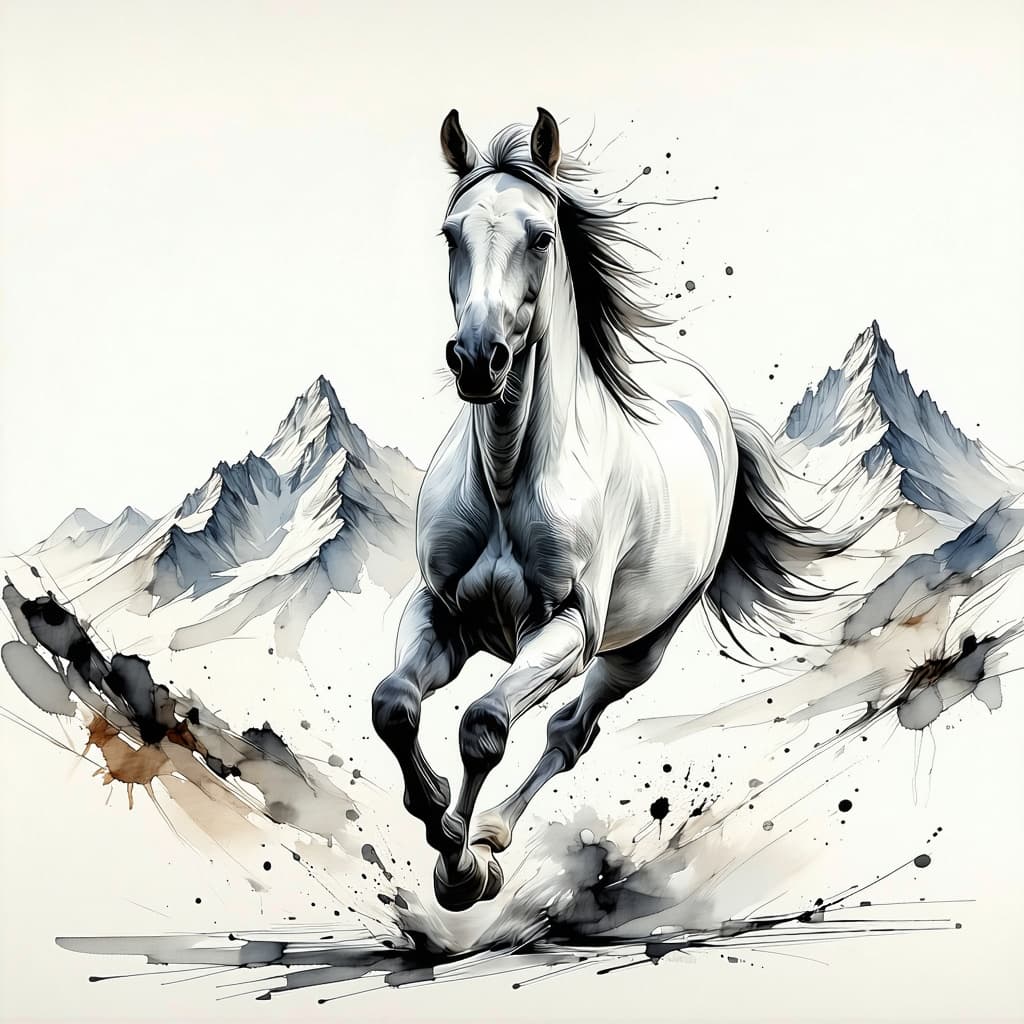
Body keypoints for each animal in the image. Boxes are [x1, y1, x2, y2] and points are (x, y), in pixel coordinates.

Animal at [371, 108, 866, 911]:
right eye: (450, 235)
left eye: (541, 236)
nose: (478, 358)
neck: (508, 481)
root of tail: (713, 412)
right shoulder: (440, 612)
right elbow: (395, 704)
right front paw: (437, 808)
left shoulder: (570, 629)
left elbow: (484, 724)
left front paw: (463, 864)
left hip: (638, 650)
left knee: (569, 733)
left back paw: (494, 836)